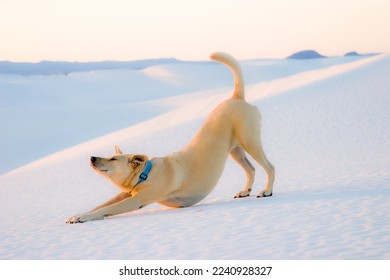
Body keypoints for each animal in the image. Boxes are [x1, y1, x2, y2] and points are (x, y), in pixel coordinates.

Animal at [66, 52, 274, 223]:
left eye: (113, 158)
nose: (92, 157)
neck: (145, 174)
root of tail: (236, 98)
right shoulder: (125, 194)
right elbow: (100, 205)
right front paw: (78, 214)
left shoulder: (138, 199)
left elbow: (106, 209)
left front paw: (84, 217)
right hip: (235, 150)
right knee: (251, 169)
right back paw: (245, 191)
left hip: (250, 141)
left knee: (269, 167)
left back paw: (267, 191)